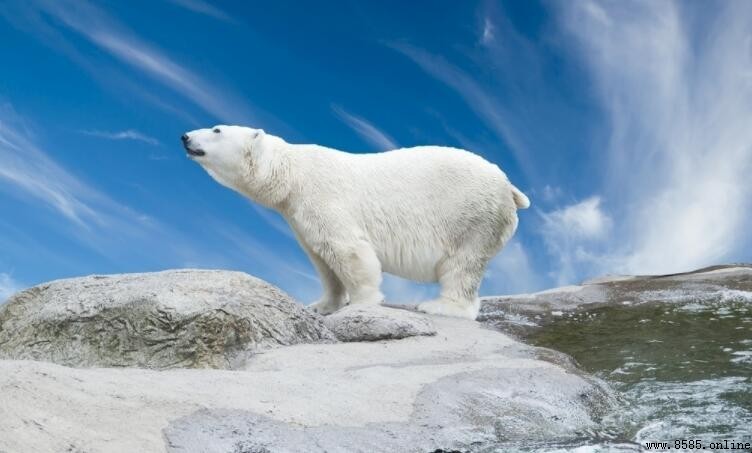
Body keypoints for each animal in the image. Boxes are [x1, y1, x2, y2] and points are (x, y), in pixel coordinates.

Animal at [181, 125, 529, 319]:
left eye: (217, 130)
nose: (184, 136)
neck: (292, 173)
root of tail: (510, 187)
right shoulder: (298, 216)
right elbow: (321, 259)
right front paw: (322, 305)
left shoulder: (323, 198)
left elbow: (347, 251)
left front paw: (362, 303)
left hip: (472, 216)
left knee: (462, 265)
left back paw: (442, 307)